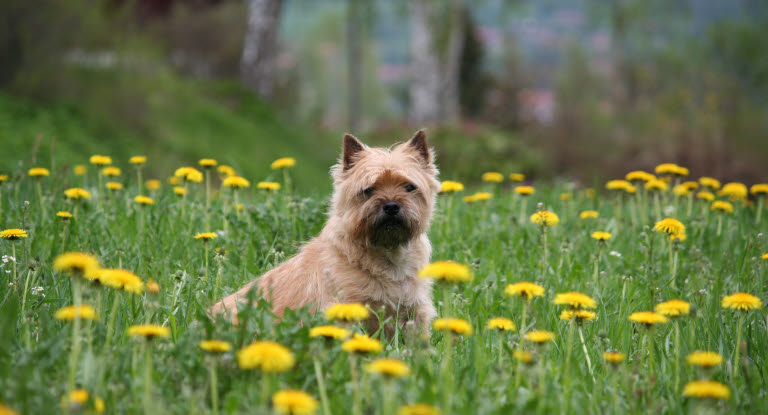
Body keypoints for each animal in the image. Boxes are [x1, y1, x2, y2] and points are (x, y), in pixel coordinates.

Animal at [210, 132, 438, 336]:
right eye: (368, 190)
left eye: (409, 187)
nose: (391, 206)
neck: (388, 255)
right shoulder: (346, 307)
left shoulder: (415, 312)